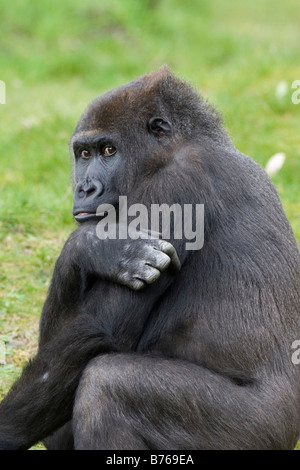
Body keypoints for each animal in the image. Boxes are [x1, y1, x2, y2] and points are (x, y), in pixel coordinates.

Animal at [0, 65, 300, 448]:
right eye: (84, 154)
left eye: (108, 150)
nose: (85, 188)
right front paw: (96, 247)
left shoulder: (172, 189)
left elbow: (100, 330)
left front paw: (3, 429)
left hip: (256, 432)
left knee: (106, 385)